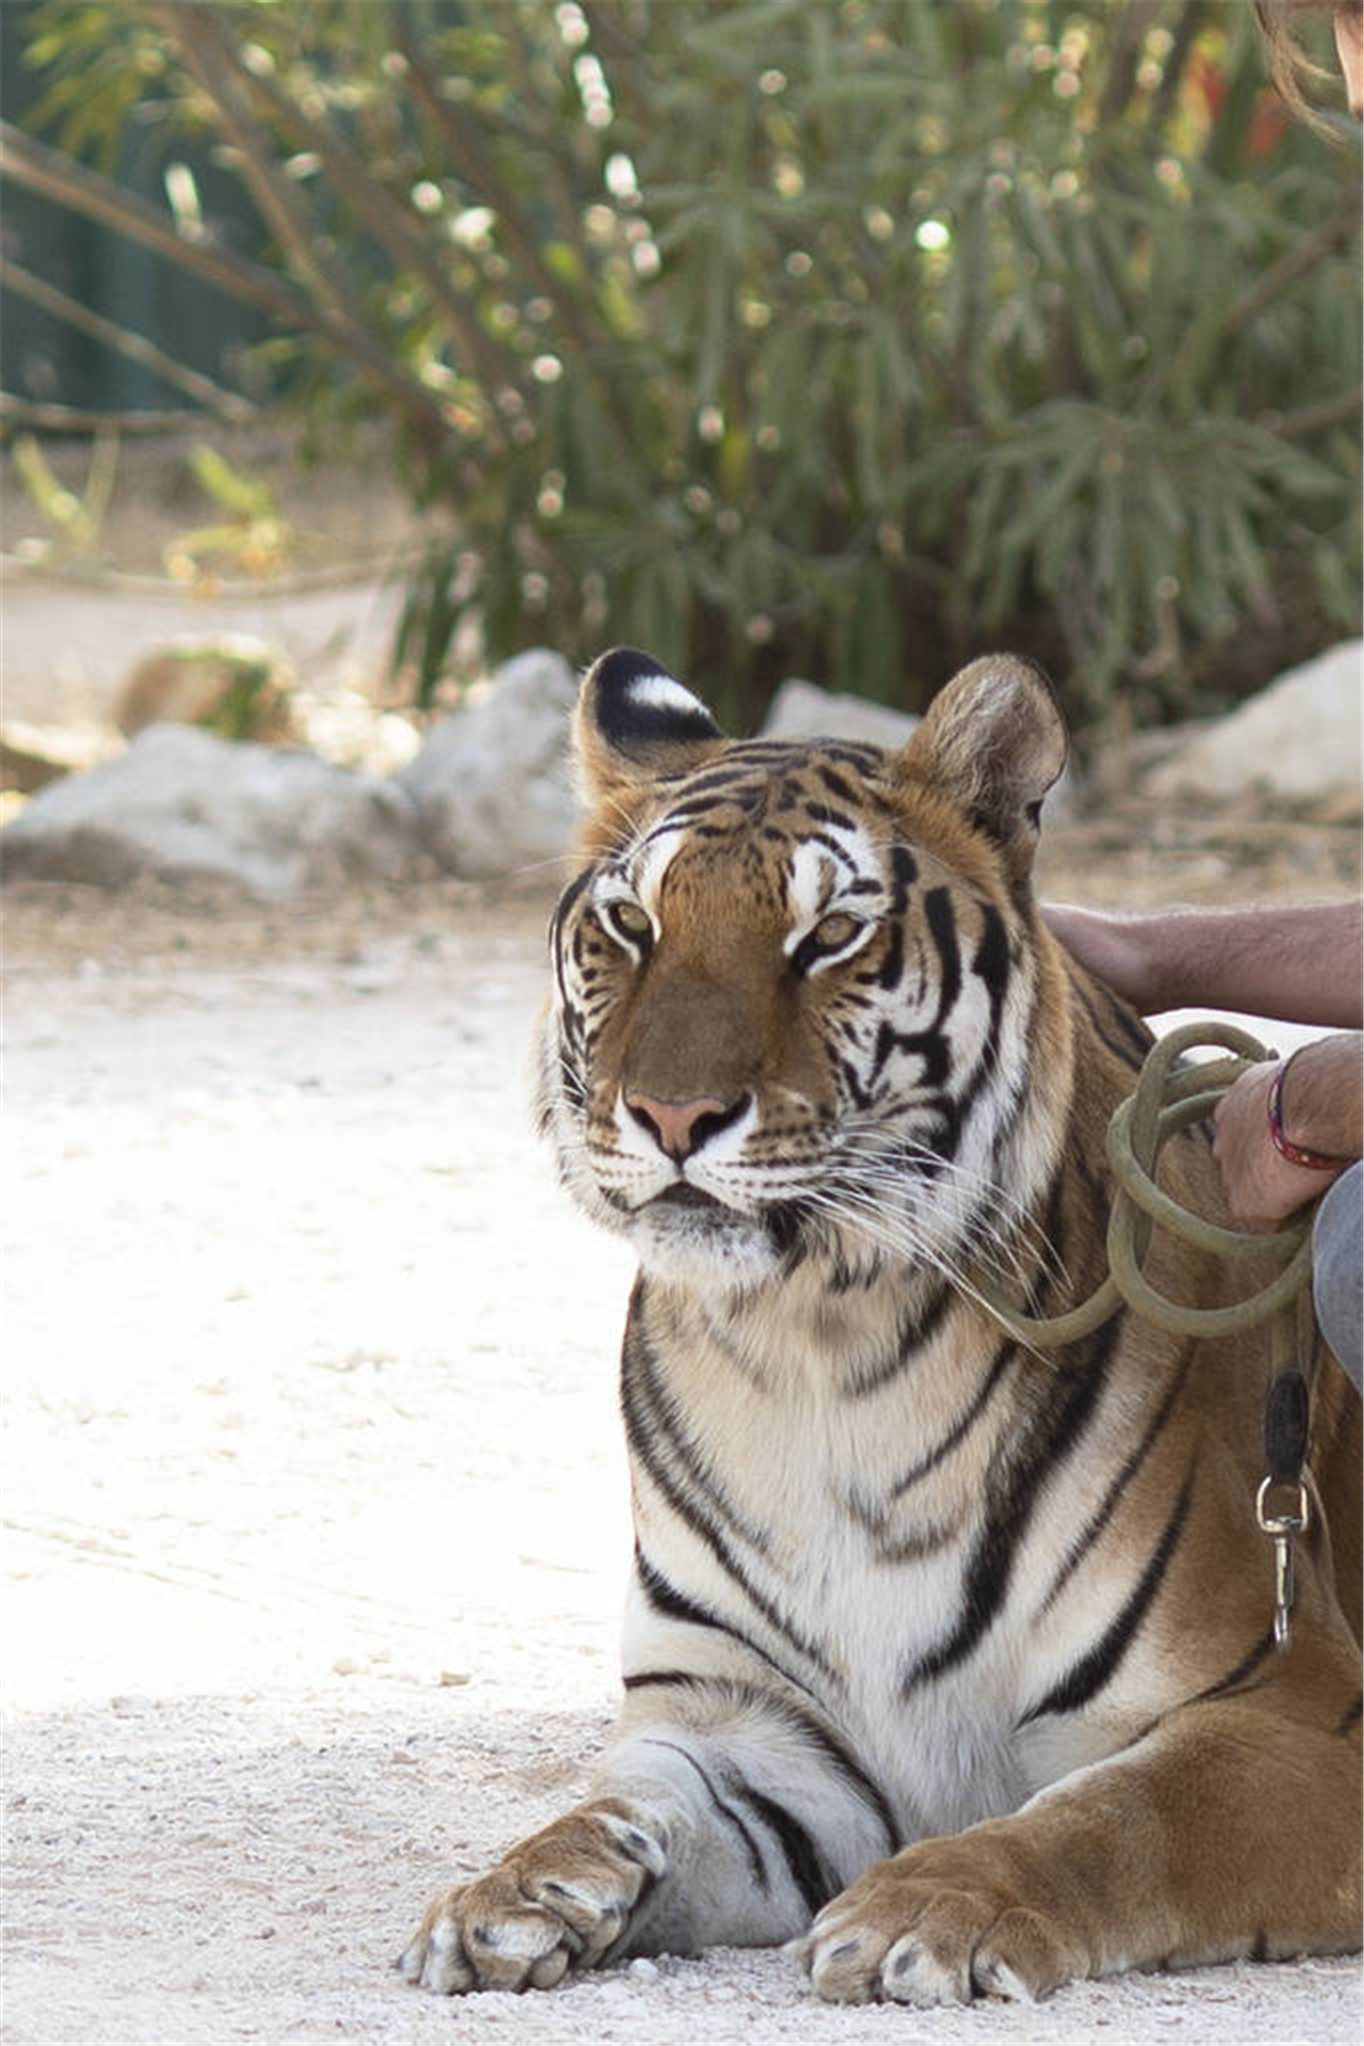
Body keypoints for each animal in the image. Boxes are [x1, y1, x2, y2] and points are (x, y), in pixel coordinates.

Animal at [402, 646, 1364, 2005]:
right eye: (633, 925)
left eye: (827, 936)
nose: (669, 1114)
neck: (814, 1352)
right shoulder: (755, 1728)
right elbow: (620, 1806)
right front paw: (508, 1894)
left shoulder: (1292, 1705)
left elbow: (1116, 1817)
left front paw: (932, 1908)